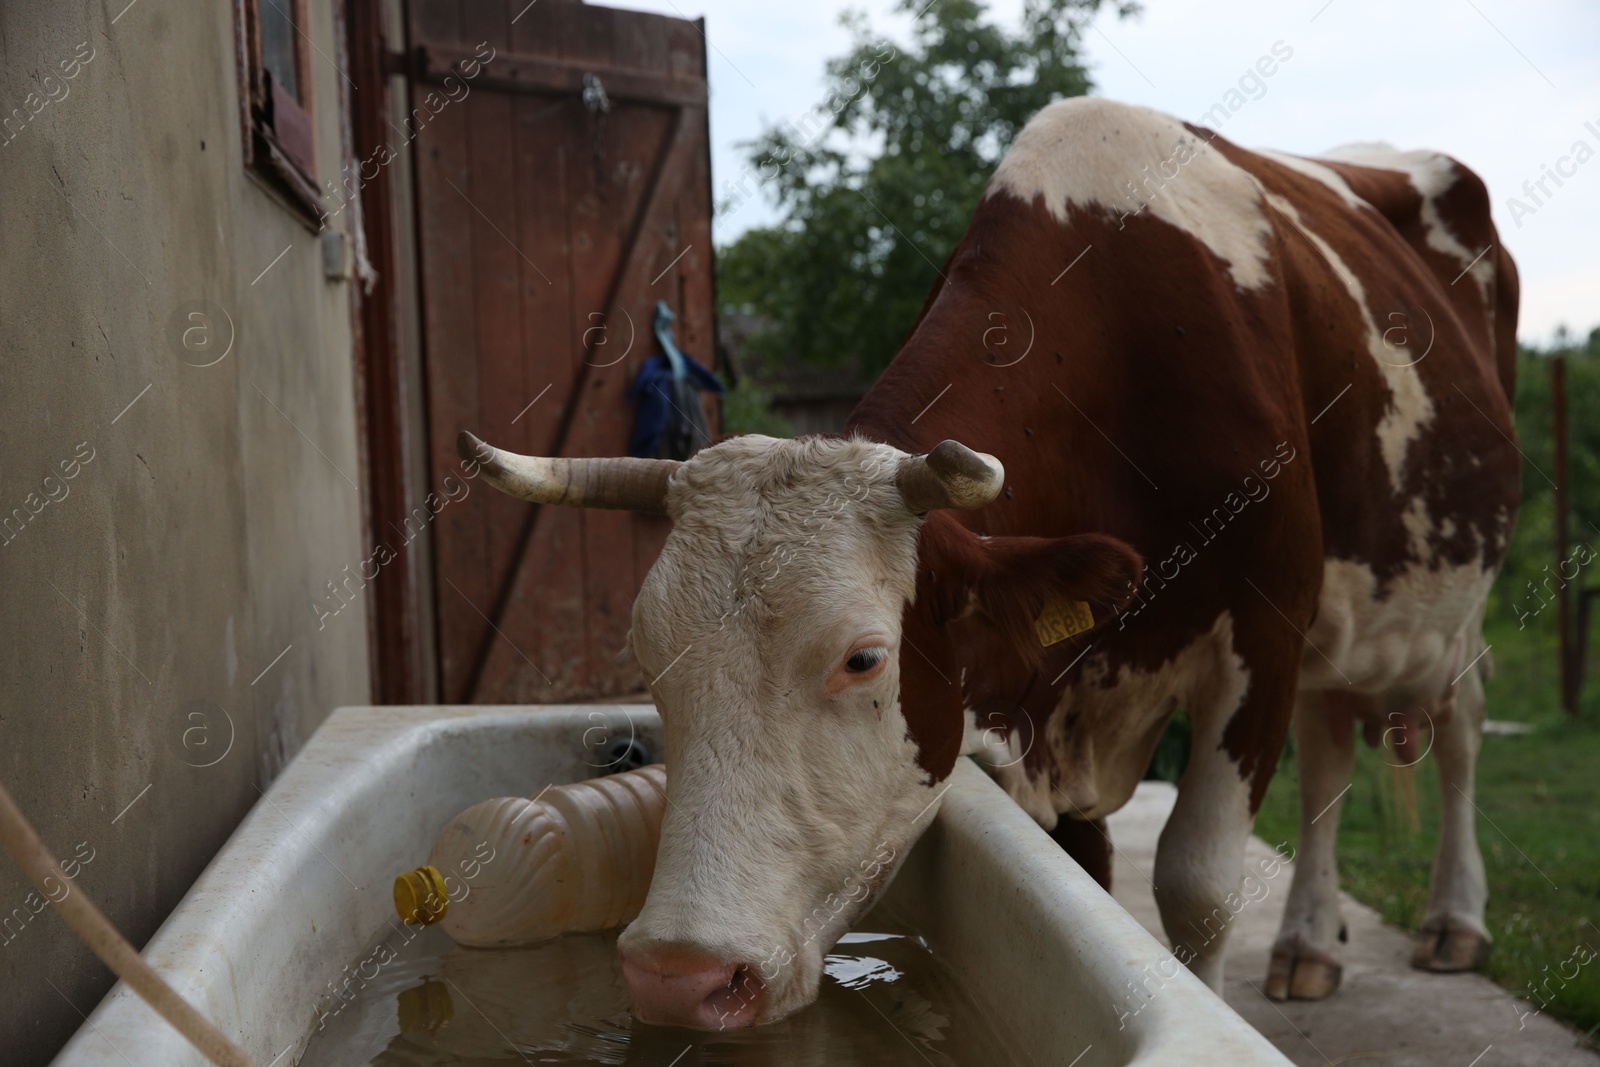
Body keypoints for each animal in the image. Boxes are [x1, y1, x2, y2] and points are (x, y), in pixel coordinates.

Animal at [460, 97, 1510, 1023]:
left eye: (863, 659)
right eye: (648, 658)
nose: (682, 977)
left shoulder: (1265, 629)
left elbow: (1199, 884)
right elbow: (1087, 871)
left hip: (1453, 609)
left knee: (1459, 733)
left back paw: (1454, 921)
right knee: (1332, 745)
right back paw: (1306, 943)